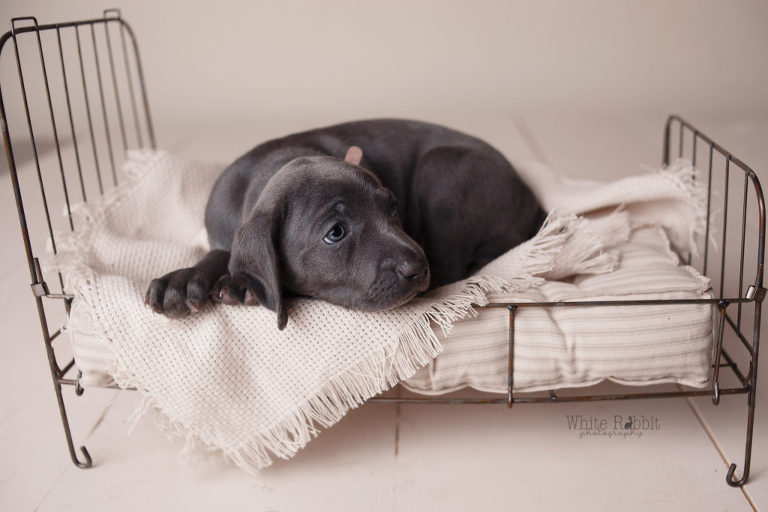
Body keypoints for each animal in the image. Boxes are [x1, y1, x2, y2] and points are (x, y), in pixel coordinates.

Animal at [146, 118, 544, 330]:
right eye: (335, 233)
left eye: (393, 208)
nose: (417, 268)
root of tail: (532, 200)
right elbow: (220, 252)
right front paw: (183, 279)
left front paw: (239, 285)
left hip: (443, 168)